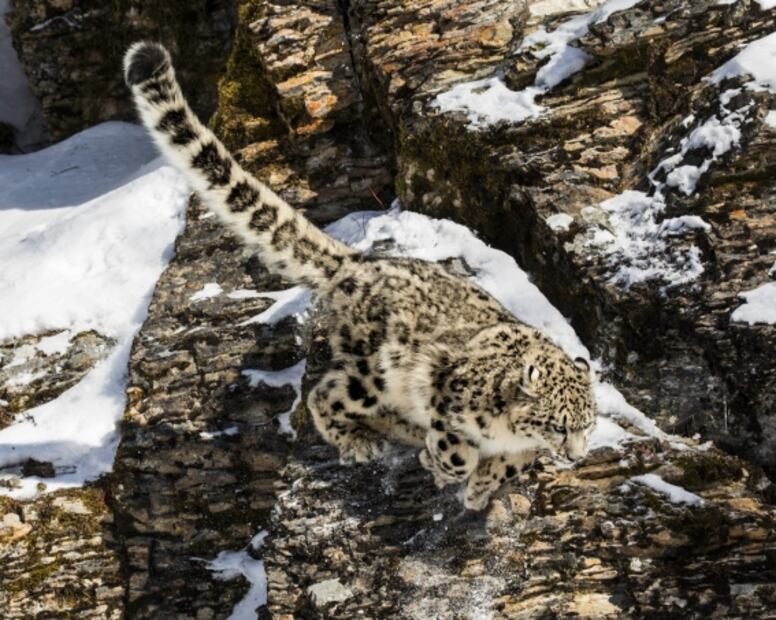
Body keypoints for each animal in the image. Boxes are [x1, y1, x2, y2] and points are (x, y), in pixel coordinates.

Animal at [124, 41, 597, 510]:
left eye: (587, 423)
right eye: (557, 424)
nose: (576, 455)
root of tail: (357, 263)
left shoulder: (522, 447)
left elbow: (511, 461)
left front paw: (481, 487)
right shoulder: (445, 394)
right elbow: (456, 450)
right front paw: (442, 466)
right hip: (372, 371)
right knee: (325, 394)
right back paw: (361, 441)